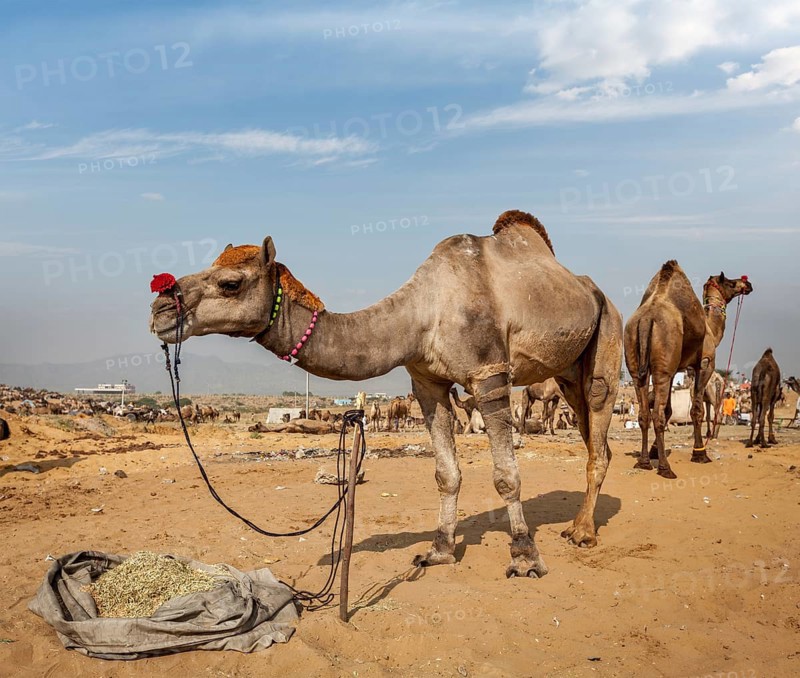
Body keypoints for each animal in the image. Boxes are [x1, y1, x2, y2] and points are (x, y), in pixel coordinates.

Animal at [150, 209, 622, 577]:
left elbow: (506, 476)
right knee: (591, 435)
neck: (423, 313)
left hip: (607, 336)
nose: (160, 307)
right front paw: (438, 551)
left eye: (230, 283)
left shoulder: (489, 375)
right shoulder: (426, 383)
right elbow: (446, 474)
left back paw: (582, 533)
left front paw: (524, 557)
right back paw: (577, 524)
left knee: (599, 420)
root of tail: (596, 292)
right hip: (566, 372)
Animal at [624, 261, 752, 478]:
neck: (711, 330)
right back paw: (665, 468)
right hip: (662, 368)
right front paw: (700, 453)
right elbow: (696, 410)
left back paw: (643, 462)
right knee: (657, 415)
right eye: (730, 282)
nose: (747, 284)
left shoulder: (675, 369)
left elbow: (669, 409)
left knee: (644, 413)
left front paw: (655, 450)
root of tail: (646, 320)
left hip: (637, 364)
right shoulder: (704, 364)